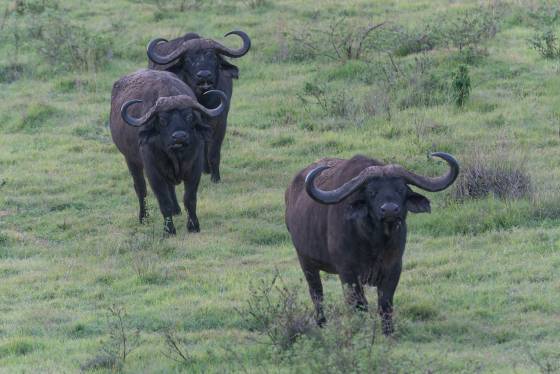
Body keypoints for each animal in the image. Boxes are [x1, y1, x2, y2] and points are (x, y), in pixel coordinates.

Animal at [110, 69, 226, 234]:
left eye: (189, 116)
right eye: (163, 120)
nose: (179, 137)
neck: (176, 156)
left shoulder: (194, 168)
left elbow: (189, 198)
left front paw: (193, 226)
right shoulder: (153, 172)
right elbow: (163, 201)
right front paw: (169, 230)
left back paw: (176, 210)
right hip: (130, 160)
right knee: (140, 188)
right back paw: (144, 217)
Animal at [145, 30, 250, 184]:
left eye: (213, 57)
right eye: (188, 59)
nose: (204, 75)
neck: (204, 100)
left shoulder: (221, 122)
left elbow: (214, 151)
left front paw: (215, 177)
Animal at [284, 152, 460, 334]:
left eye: (401, 189)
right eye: (371, 192)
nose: (389, 210)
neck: (375, 243)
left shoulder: (394, 268)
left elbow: (385, 303)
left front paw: (388, 332)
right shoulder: (348, 272)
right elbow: (359, 305)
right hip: (306, 261)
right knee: (317, 294)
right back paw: (321, 324)